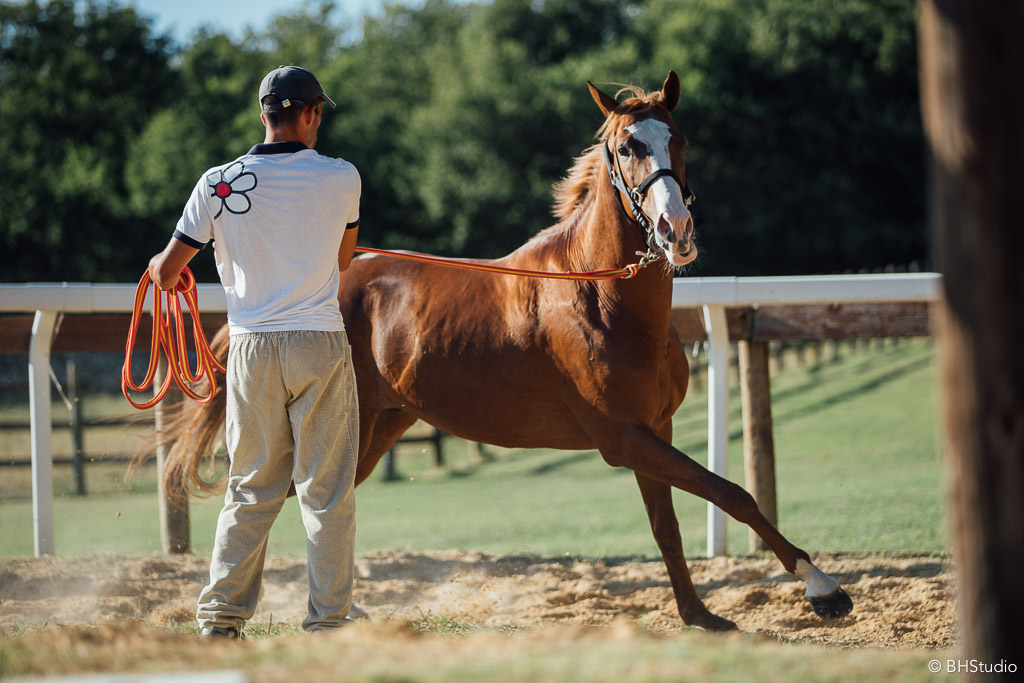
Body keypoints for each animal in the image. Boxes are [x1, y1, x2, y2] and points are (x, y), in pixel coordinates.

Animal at [163, 71, 853, 631]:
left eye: (678, 140)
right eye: (627, 147)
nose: (675, 231)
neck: (599, 297)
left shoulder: (651, 431)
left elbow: (670, 526)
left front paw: (698, 615)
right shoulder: (624, 438)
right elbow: (731, 493)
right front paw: (823, 588)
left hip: (373, 429)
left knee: (307, 504)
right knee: (278, 501)